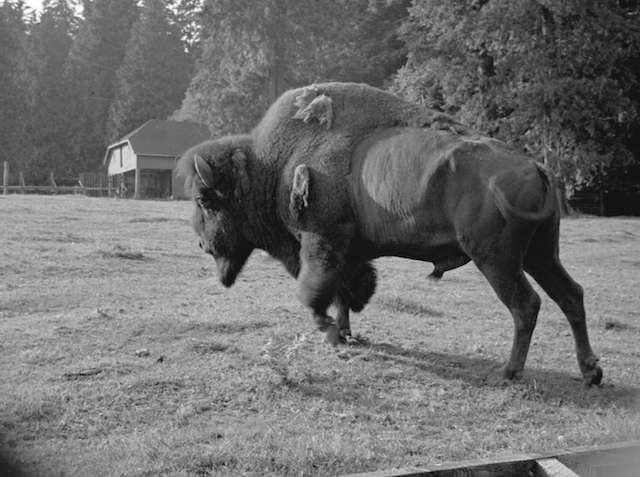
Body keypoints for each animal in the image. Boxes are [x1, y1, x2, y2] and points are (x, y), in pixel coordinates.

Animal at [178, 82, 604, 384]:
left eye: (205, 200)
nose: (201, 244)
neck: (271, 168)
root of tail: (537, 166)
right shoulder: (347, 254)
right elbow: (343, 293)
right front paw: (346, 333)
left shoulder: (320, 243)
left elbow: (312, 293)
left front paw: (330, 332)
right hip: (541, 254)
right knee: (571, 295)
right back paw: (591, 372)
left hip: (498, 260)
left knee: (526, 305)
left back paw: (510, 371)